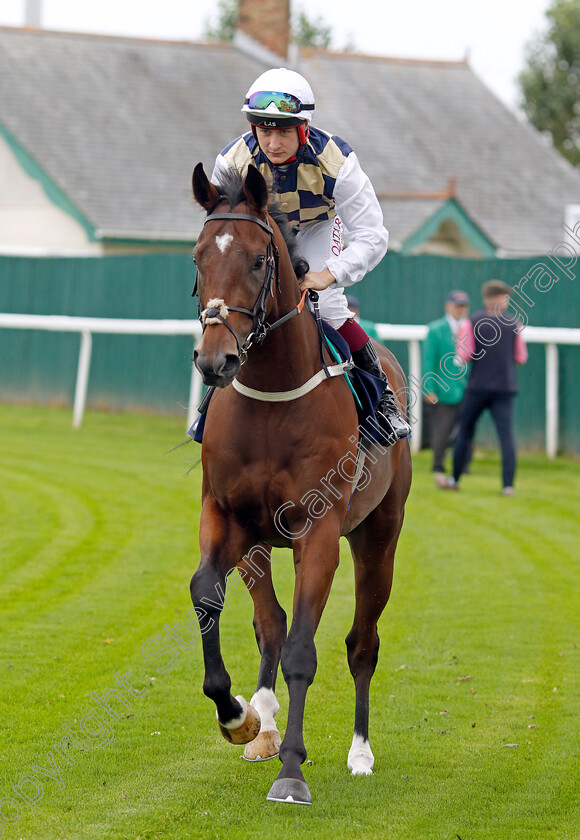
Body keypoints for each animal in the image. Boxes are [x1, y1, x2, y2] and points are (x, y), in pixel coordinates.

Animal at [190, 161, 412, 804]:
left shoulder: (319, 531)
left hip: (377, 539)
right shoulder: (228, 516)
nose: (214, 360)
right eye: (197, 258)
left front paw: (292, 769)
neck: (272, 394)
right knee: (269, 624)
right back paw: (262, 729)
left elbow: (302, 653)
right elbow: (208, 595)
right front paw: (237, 716)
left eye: (258, 262)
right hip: (264, 543)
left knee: (362, 644)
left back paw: (359, 752)